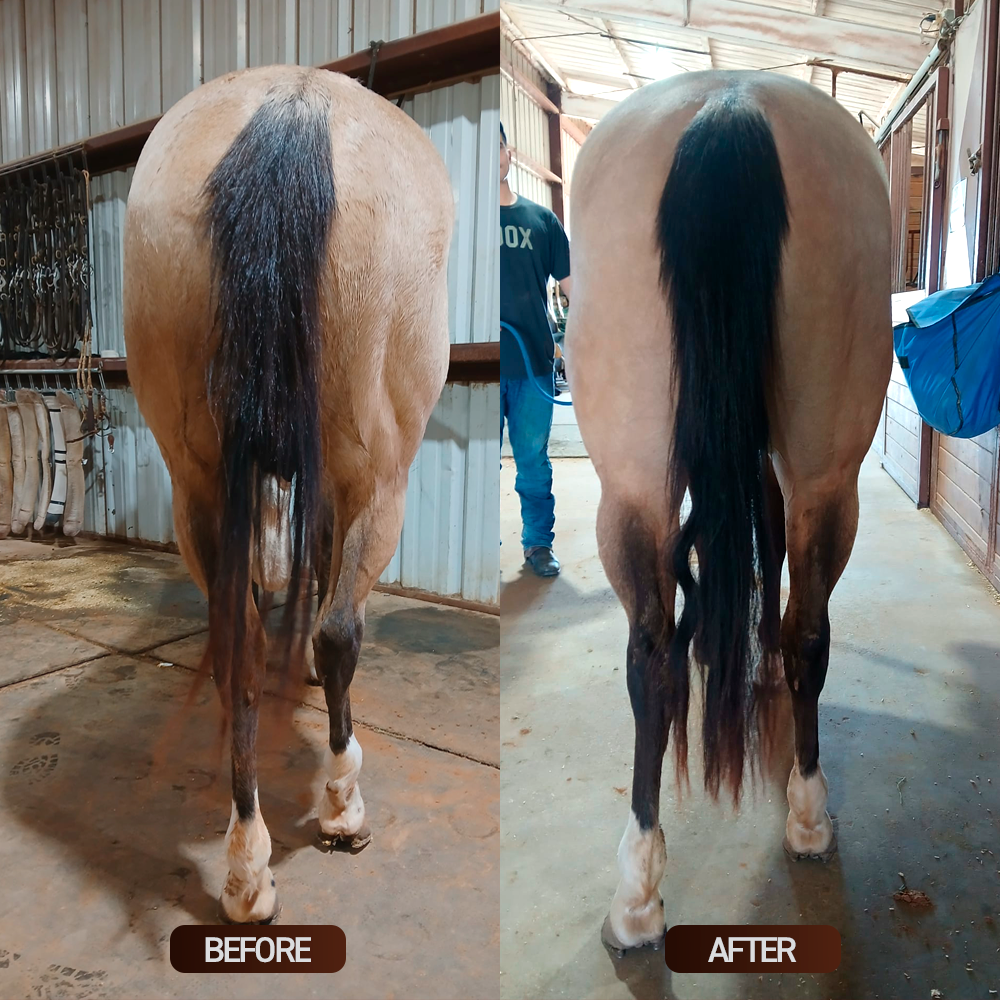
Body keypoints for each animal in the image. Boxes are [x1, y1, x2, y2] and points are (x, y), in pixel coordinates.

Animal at [123, 64, 453, 923]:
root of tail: (291, 105)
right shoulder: (346, 484)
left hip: (198, 487)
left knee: (237, 650)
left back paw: (247, 871)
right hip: (380, 482)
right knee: (339, 631)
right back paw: (341, 809)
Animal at [565, 70, 891, 953]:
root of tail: (730, 100)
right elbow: (763, 558)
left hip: (640, 486)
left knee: (655, 653)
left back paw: (641, 888)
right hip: (816, 479)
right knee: (794, 629)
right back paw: (802, 814)